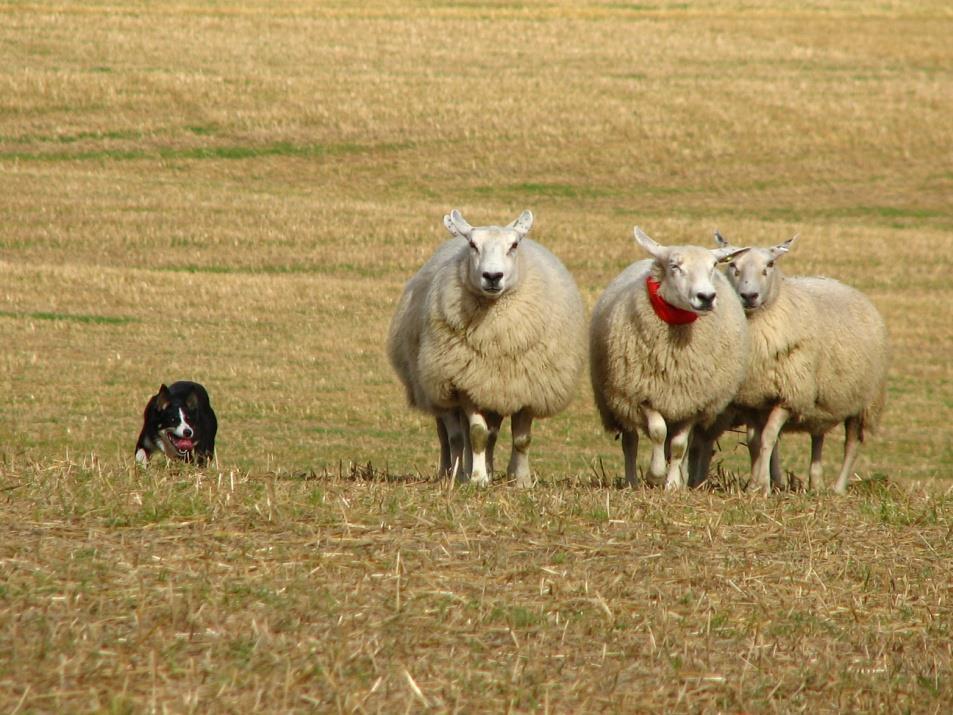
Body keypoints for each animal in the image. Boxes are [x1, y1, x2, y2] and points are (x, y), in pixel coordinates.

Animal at [386, 207, 588, 486]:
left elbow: (521, 439)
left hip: (493, 389)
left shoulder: (526, 386)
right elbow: (477, 434)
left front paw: (520, 479)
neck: (496, 336)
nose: (492, 276)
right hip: (436, 387)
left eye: (514, 245)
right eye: (473, 245)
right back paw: (452, 473)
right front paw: (477, 479)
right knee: (449, 436)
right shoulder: (467, 383)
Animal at [588, 227, 752, 490]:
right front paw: (655, 475)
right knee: (630, 443)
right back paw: (632, 482)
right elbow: (657, 432)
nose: (706, 297)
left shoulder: (691, 401)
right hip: (620, 401)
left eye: (714, 266)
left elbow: (677, 446)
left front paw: (673, 485)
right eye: (675, 266)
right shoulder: (642, 393)